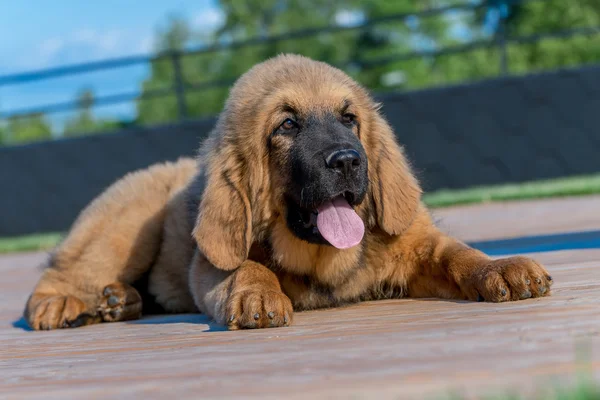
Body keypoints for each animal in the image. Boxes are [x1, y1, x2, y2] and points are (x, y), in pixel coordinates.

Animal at [24, 54, 552, 332]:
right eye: (287, 126)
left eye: (348, 118)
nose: (347, 160)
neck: (321, 258)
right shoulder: (209, 265)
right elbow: (246, 266)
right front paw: (258, 295)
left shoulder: (417, 245)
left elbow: (458, 253)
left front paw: (501, 268)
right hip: (126, 226)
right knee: (58, 275)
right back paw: (65, 306)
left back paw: (119, 302)